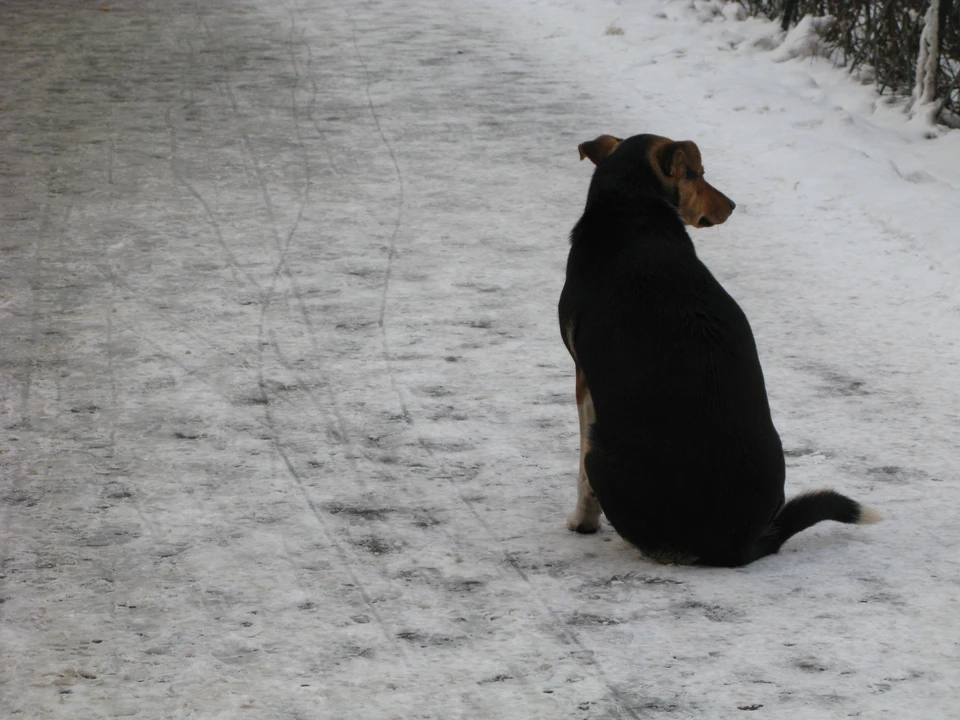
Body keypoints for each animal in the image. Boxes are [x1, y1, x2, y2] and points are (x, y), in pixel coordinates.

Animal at [560, 132, 880, 564]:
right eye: (699, 175)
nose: (731, 205)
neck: (631, 206)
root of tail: (741, 544)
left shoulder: (583, 379)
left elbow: (581, 478)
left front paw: (582, 522)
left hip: (601, 450)